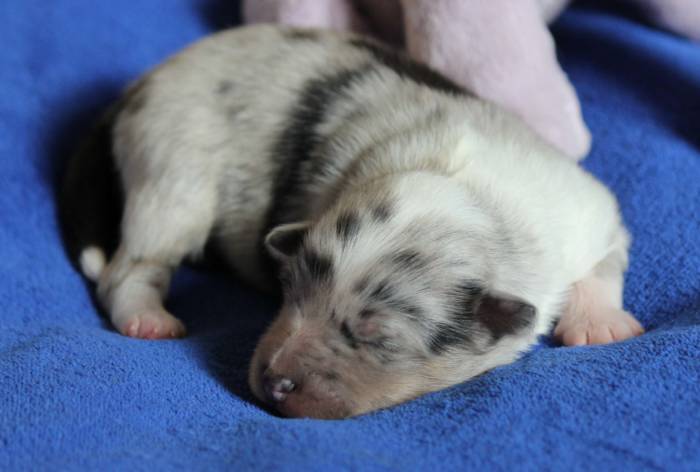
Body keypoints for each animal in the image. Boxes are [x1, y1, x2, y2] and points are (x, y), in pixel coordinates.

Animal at [60, 25, 644, 419]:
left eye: (376, 338)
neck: (472, 195)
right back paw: (148, 317)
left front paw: (600, 324)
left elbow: (607, 260)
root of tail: (136, 89)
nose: (274, 382)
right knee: (130, 268)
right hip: (173, 172)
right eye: (290, 291)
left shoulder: (589, 212)